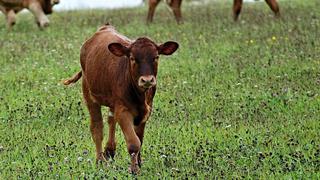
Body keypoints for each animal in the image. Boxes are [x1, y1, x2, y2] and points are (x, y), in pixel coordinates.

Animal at [62, 23, 178, 174]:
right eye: (132, 58)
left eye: (156, 57)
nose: (147, 80)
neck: (140, 96)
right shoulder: (123, 111)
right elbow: (134, 143)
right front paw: (134, 170)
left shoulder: (146, 111)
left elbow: (139, 139)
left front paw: (139, 164)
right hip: (89, 93)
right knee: (97, 127)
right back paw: (100, 160)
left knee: (111, 119)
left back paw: (110, 150)